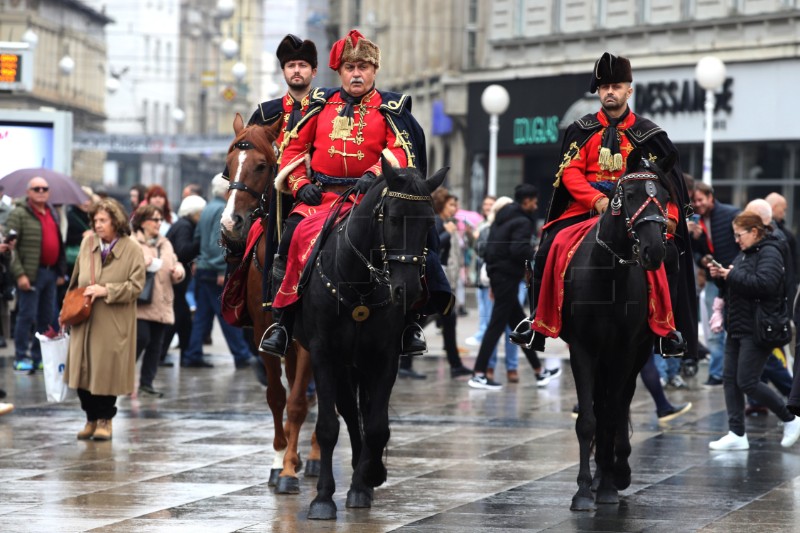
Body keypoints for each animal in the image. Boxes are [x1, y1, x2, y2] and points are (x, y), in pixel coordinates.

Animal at [220, 112, 320, 494]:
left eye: (261, 166)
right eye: (228, 165)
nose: (229, 223)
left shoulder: (310, 342)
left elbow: (297, 402)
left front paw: (291, 469)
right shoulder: (265, 334)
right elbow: (278, 396)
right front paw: (280, 460)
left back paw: (315, 456)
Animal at [294, 158, 446, 520]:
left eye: (429, 223)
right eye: (393, 219)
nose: (409, 291)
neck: (358, 284)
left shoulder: (384, 357)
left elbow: (377, 426)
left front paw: (370, 475)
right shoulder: (324, 355)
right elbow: (328, 426)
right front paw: (323, 498)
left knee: (359, 412)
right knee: (349, 412)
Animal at [560, 148, 680, 510]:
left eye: (666, 198)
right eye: (628, 196)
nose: (654, 251)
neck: (609, 277)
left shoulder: (625, 350)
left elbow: (612, 415)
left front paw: (610, 485)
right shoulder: (582, 348)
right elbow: (588, 420)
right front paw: (583, 491)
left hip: (634, 355)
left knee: (618, 405)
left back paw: (615, 472)